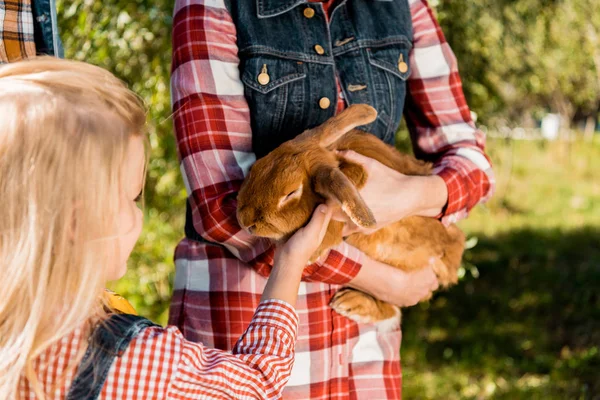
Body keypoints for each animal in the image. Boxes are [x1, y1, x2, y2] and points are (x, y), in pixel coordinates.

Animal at [236, 104, 464, 330]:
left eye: (290, 194)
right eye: (256, 167)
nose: (244, 221)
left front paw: (312, 255)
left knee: (391, 308)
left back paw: (352, 304)